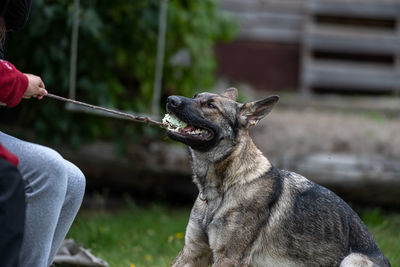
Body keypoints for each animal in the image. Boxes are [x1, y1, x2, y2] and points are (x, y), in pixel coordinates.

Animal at [162, 89, 388, 266]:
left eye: (211, 105)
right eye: (195, 96)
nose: (171, 100)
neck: (225, 186)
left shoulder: (228, 258)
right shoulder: (192, 252)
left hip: (352, 259)